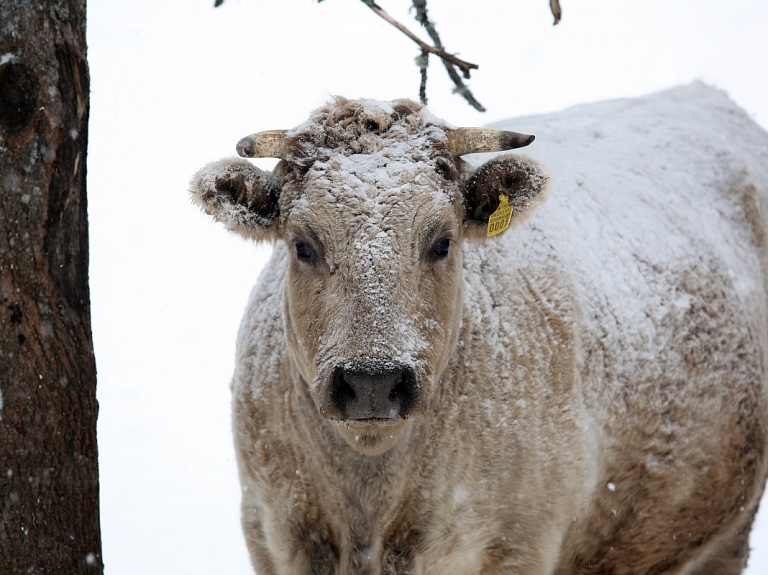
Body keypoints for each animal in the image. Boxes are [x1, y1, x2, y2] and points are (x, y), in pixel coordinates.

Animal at [188, 82, 768, 575]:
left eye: (442, 241)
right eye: (303, 245)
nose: (373, 381)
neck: (370, 507)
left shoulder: (519, 542)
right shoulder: (271, 532)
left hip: (728, 527)